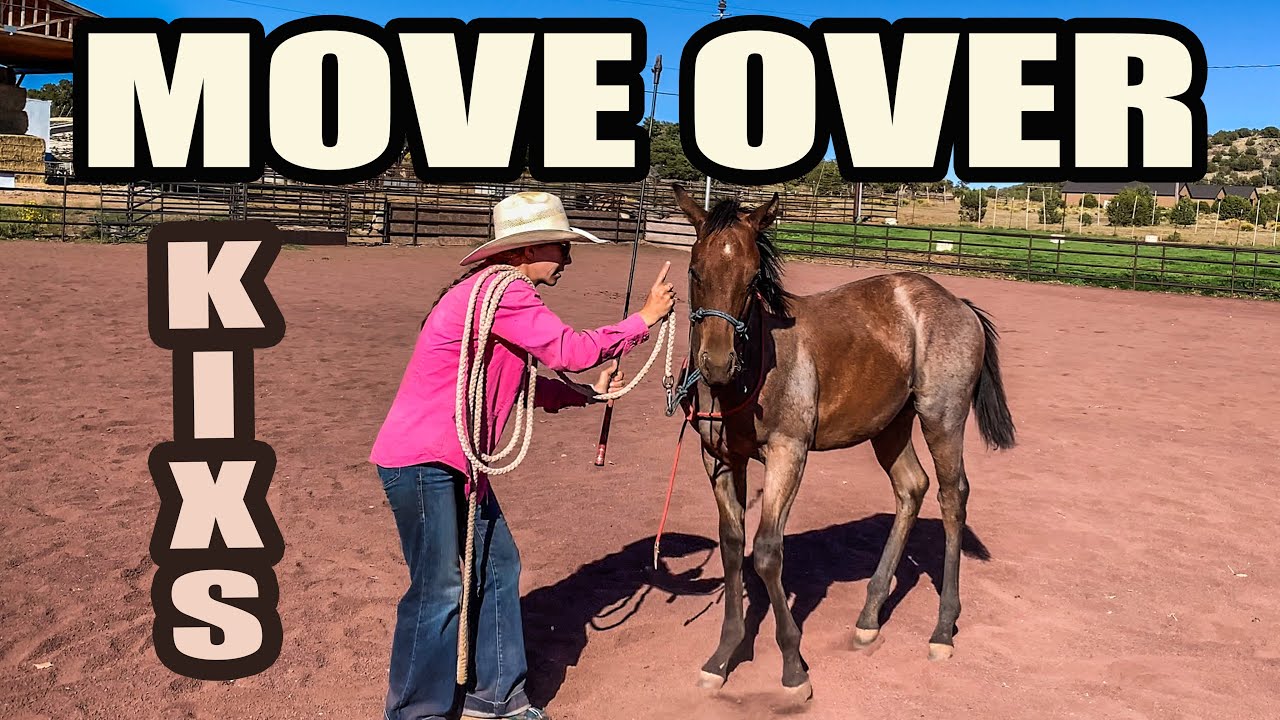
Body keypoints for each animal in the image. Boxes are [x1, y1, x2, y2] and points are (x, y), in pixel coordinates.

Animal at [667, 183, 1016, 700]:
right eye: (694, 270)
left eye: (752, 279)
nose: (715, 362)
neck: (752, 374)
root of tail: (957, 302)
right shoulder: (721, 459)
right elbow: (733, 547)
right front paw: (723, 655)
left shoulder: (788, 453)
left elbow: (767, 552)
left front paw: (793, 667)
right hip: (889, 426)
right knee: (911, 487)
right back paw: (870, 616)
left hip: (942, 418)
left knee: (953, 498)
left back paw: (942, 629)